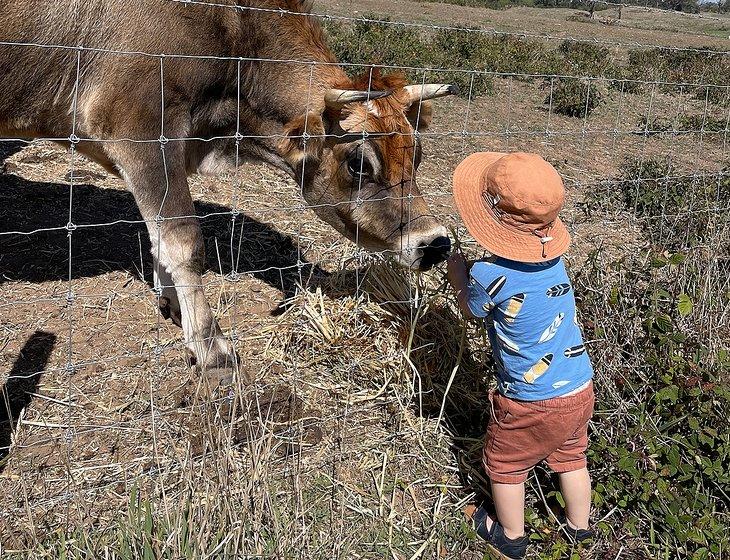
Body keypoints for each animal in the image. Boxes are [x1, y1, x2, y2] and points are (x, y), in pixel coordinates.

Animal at [0, 2, 456, 374]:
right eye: (358, 162)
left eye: (418, 154)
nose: (435, 243)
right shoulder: (138, 128)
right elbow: (184, 240)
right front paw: (210, 344)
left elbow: (160, 237)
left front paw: (173, 305)